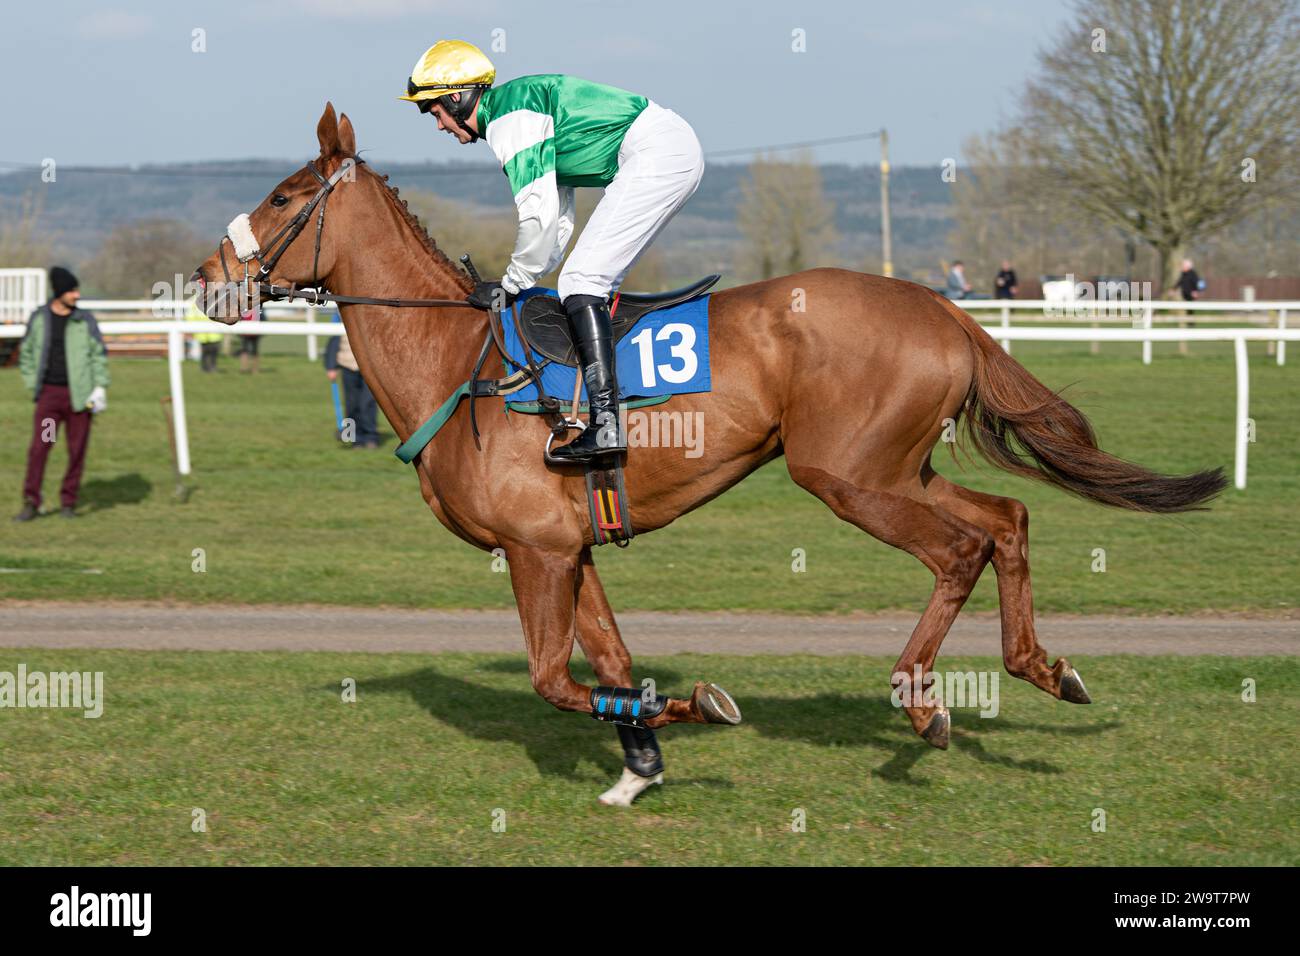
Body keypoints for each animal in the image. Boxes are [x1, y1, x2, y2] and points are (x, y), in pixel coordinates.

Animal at [197, 106, 1222, 806]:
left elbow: (555, 681)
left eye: (284, 197)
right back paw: (1044, 668)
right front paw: (640, 766)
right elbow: (609, 664)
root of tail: (940, 306)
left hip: (844, 478)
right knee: (1006, 519)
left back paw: (923, 703)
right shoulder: (569, 548)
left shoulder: (535, 550)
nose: (209, 277)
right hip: (897, 469)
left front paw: (693, 711)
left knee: (960, 548)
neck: (461, 367)